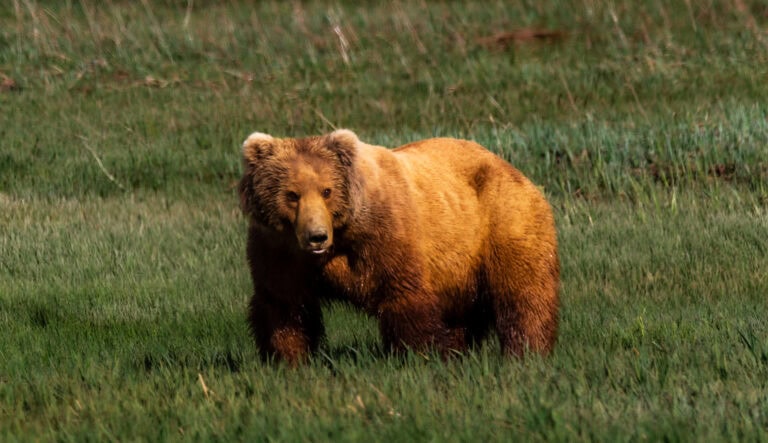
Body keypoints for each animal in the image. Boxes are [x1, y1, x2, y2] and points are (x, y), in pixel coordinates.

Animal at [238, 129, 559, 365]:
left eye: (327, 190)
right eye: (292, 194)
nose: (316, 237)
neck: (343, 234)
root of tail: (511, 167)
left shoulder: (386, 236)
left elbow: (404, 296)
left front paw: (419, 356)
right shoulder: (279, 250)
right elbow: (284, 305)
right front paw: (288, 359)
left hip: (503, 224)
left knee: (524, 294)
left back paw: (526, 352)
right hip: (459, 265)